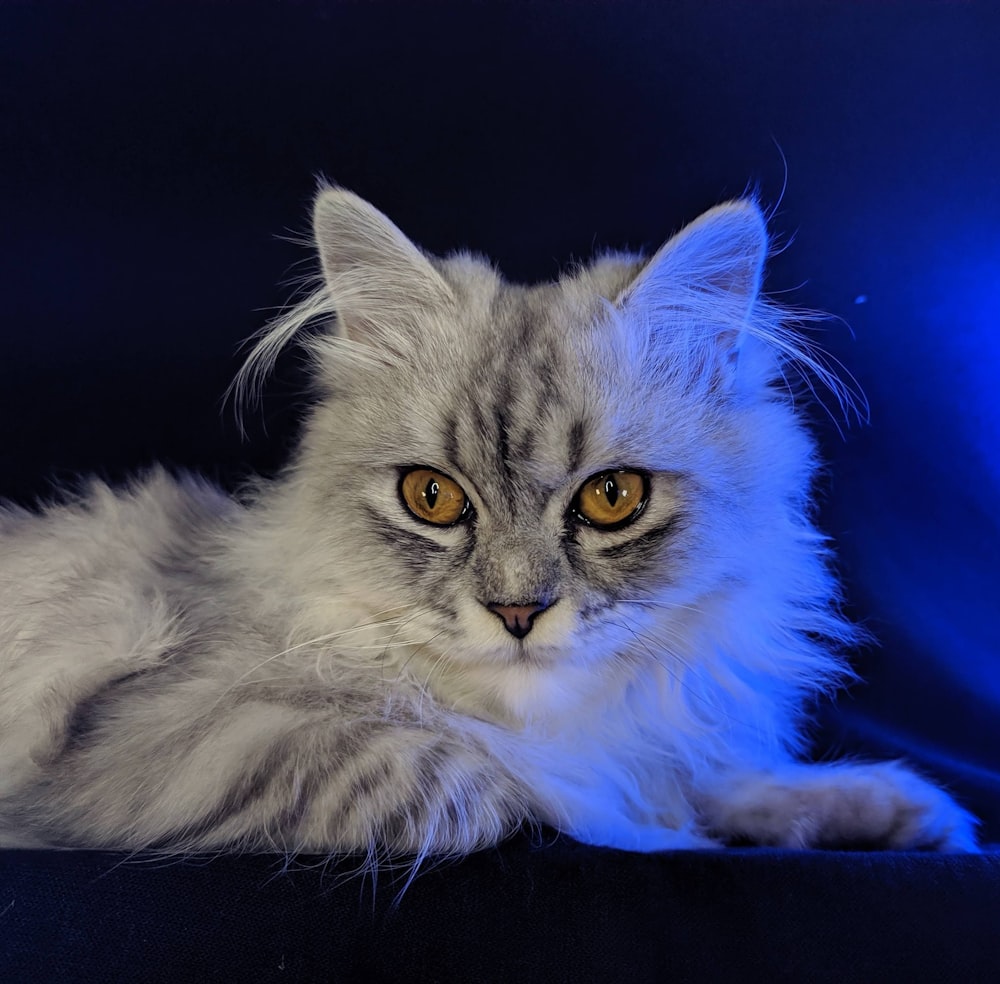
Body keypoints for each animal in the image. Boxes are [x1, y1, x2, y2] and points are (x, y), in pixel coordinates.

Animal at [0, 186, 976, 860]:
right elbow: (511, 785)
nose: (516, 613)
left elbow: (700, 772)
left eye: (611, 498)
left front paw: (896, 812)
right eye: (432, 499)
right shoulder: (181, 741)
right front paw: (664, 832)